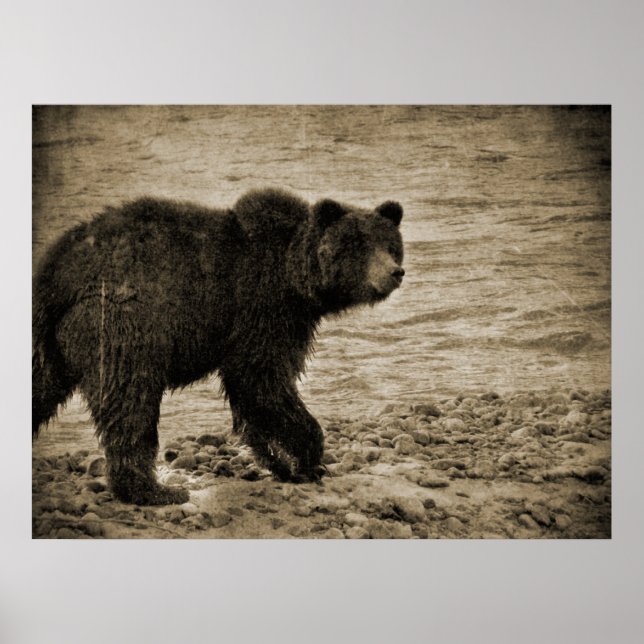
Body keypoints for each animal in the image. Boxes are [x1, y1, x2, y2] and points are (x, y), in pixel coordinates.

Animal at [32, 188, 405, 505]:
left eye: (391, 245)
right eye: (358, 245)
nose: (395, 272)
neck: (295, 278)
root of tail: (58, 268)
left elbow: (254, 395)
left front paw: (281, 462)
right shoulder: (262, 305)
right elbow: (261, 378)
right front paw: (308, 457)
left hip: (49, 338)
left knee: (43, 386)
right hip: (124, 320)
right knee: (130, 400)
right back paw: (154, 490)